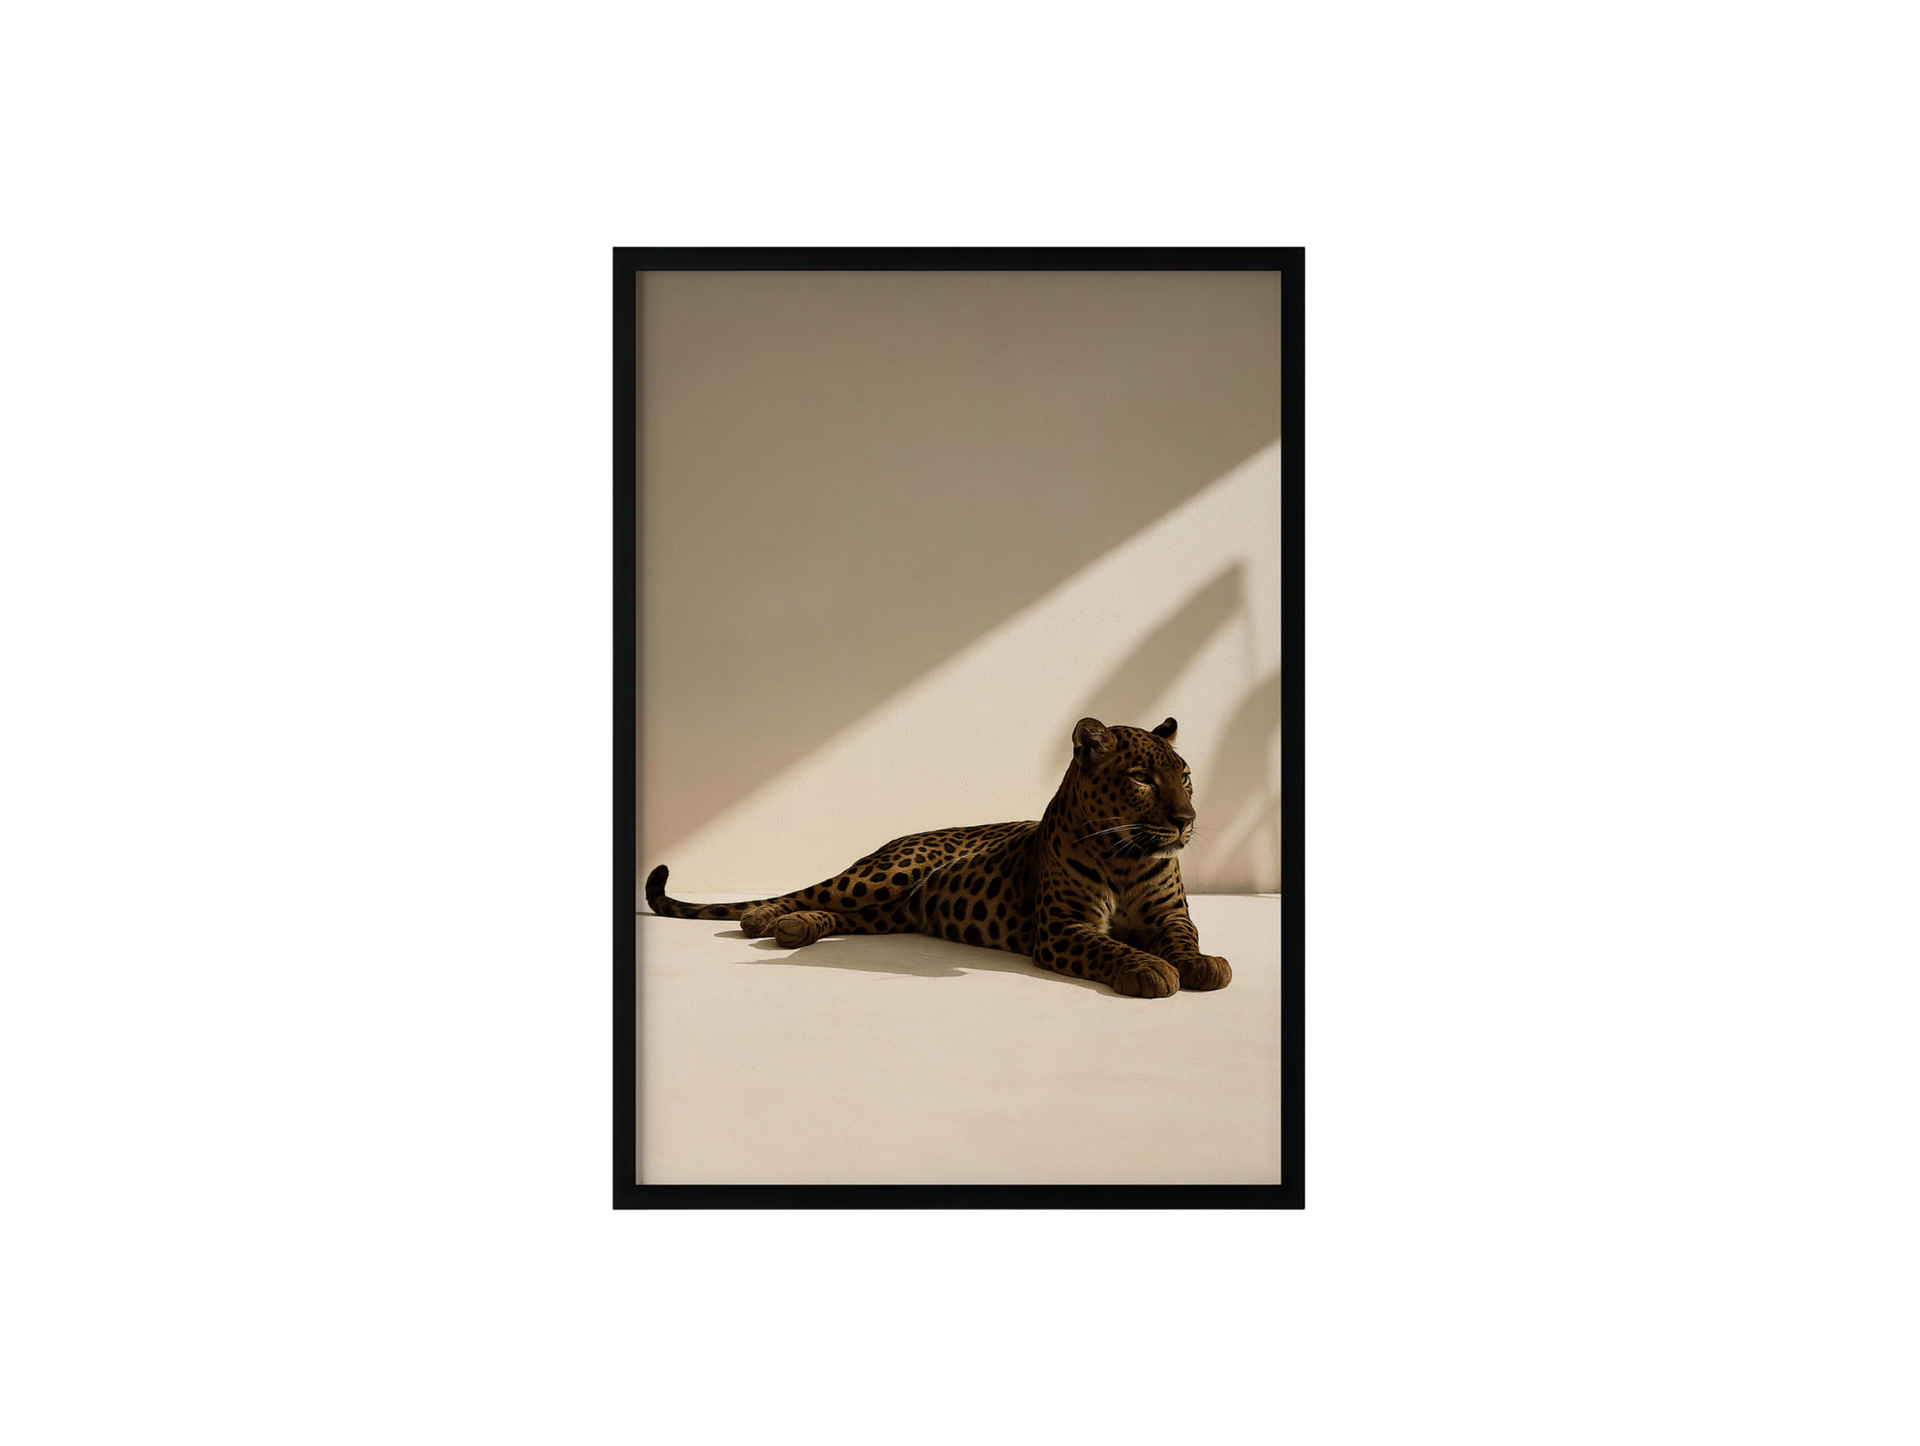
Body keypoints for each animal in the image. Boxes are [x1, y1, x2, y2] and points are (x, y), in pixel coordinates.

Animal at [645, 716, 1231, 999]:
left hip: (889, 910)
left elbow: (1183, 939)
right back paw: (763, 918)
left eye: (1185, 777)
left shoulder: (1170, 913)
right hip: (885, 874)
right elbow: (1111, 947)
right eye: (1141, 778)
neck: (1126, 856)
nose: (1187, 820)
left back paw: (795, 929)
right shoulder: (1063, 927)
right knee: (811, 891)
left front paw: (1201, 964)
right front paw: (1149, 969)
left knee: (843, 915)